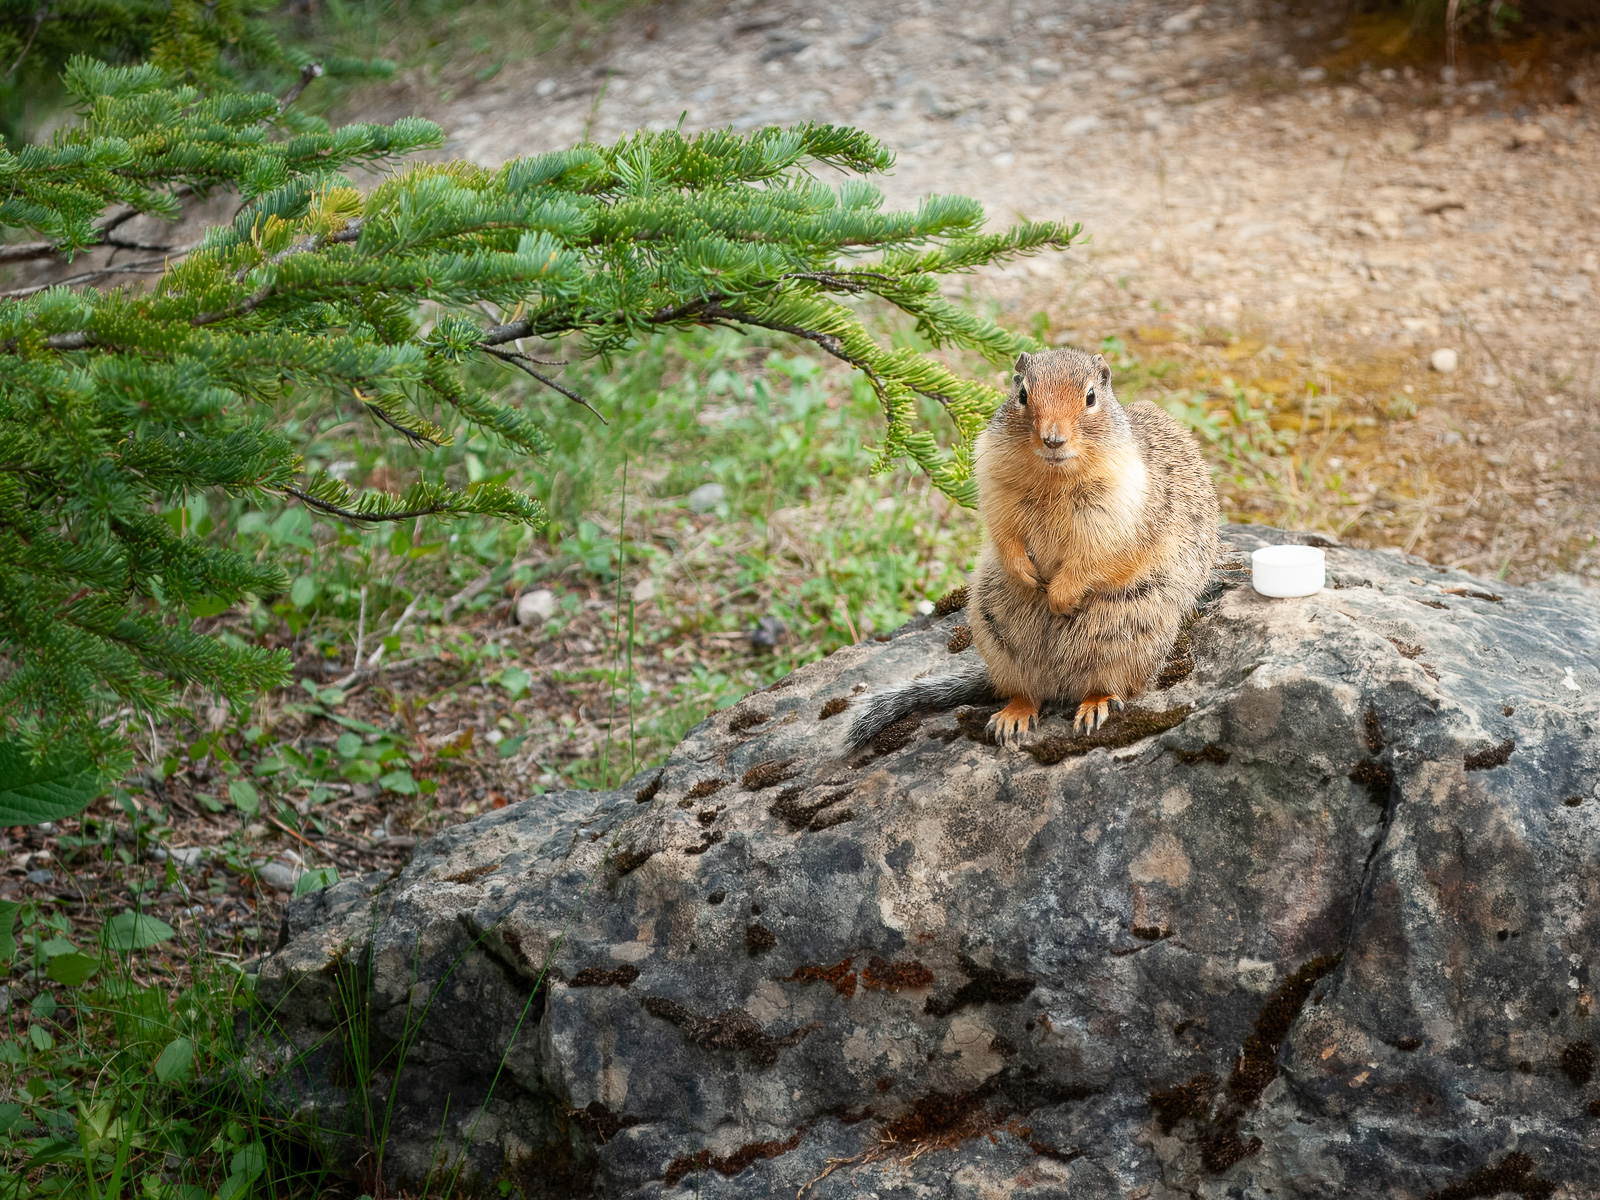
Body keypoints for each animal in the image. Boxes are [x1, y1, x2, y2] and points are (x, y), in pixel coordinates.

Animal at [849, 347, 1218, 749]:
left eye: (1091, 397)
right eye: (1023, 394)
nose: (1053, 439)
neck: (1053, 477)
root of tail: (1060, 682)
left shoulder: (1117, 512)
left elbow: (1095, 557)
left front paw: (1060, 595)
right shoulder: (994, 486)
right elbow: (1003, 535)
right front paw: (1025, 573)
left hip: (1132, 633)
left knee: (1113, 684)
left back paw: (1095, 706)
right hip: (994, 631)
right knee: (1026, 691)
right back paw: (1013, 716)